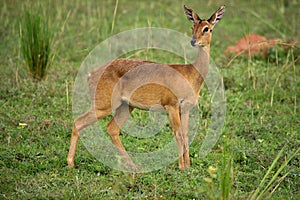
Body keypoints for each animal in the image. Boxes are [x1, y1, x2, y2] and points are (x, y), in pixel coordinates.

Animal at [67, 5, 224, 170]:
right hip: (104, 105)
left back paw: (133, 166)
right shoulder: (171, 105)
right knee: (78, 122)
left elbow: (186, 135)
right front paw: (181, 167)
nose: (194, 41)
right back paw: (70, 163)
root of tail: (91, 74)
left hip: (125, 106)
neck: (191, 72)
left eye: (207, 28)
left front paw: (187, 166)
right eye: (193, 26)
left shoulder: (185, 108)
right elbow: (178, 135)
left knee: (112, 129)